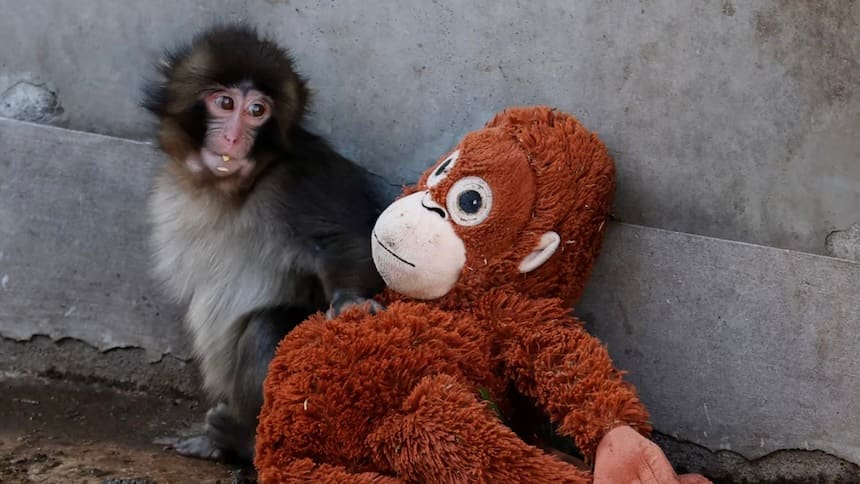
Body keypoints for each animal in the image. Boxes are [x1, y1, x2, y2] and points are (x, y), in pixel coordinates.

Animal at [142, 23, 386, 464]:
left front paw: (350, 302)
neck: (231, 189)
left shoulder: (300, 181)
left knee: (266, 327)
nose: (234, 136)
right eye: (225, 103)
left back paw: (242, 439)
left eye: (258, 111)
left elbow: (348, 241)